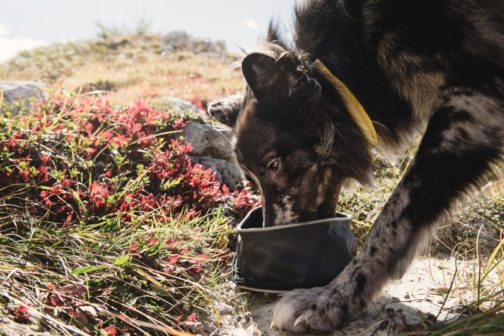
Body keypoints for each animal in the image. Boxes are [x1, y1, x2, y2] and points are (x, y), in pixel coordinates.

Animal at [208, 0, 504, 332]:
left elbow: (390, 221)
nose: (274, 236)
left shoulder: (473, 107)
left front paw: (330, 301)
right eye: (250, 179)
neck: (361, 54)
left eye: (274, 165)